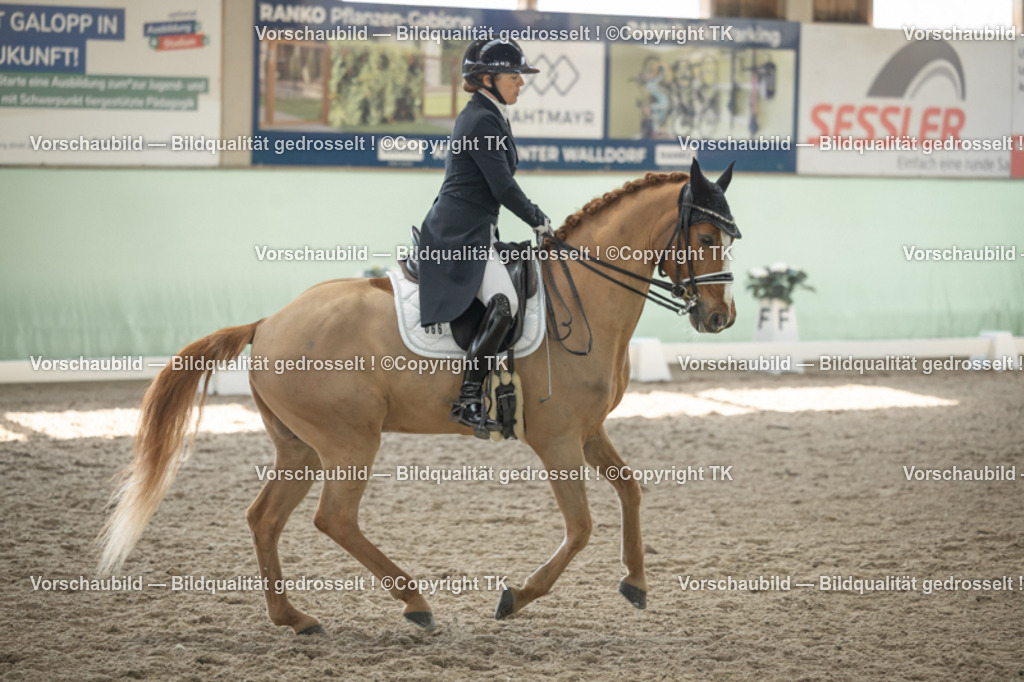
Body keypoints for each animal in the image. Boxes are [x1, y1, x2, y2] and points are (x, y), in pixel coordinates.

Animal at [97, 159, 740, 635]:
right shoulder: (557, 440)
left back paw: (295, 617)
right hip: (349, 440)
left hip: (300, 447)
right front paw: (517, 596)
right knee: (334, 518)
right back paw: (416, 603)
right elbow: (580, 527)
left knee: (265, 518)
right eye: (707, 236)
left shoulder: (587, 431)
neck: (582, 296)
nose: (720, 317)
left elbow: (631, 489)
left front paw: (636, 582)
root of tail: (267, 322)